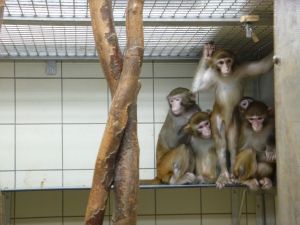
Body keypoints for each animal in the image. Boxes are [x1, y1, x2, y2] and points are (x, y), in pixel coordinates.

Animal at [191, 42, 274, 188]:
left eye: (228, 61)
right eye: (221, 62)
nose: (226, 68)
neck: (226, 76)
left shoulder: (243, 68)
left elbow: (264, 66)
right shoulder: (211, 75)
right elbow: (196, 87)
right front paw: (206, 54)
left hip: (234, 122)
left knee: (232, 143)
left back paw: (234, 173)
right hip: (217, 118)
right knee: (221, 143)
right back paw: (224, 174)